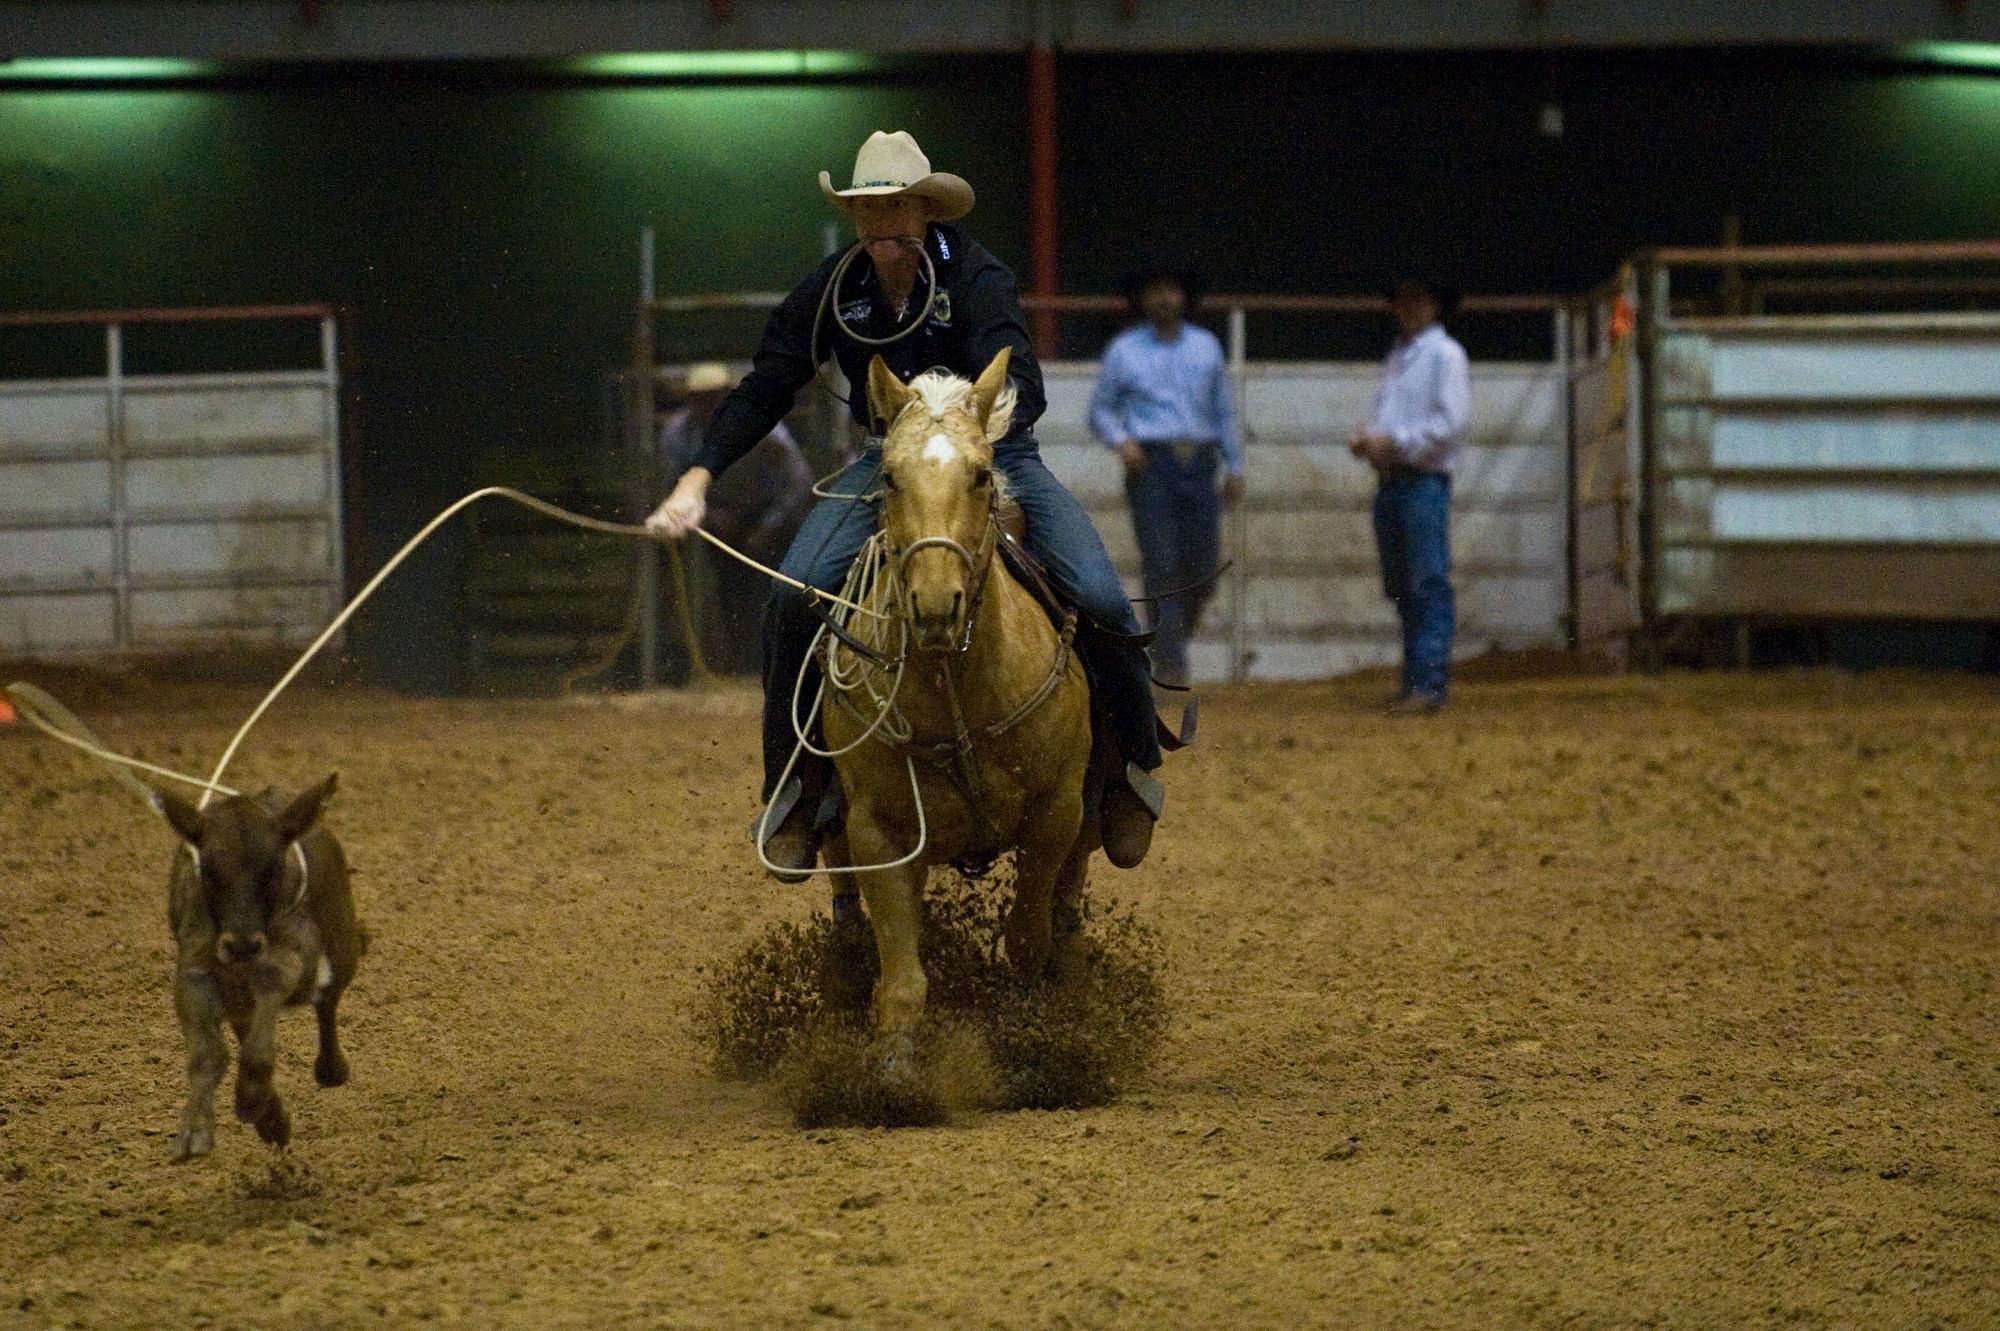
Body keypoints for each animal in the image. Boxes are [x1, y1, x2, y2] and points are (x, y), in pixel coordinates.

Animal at [156, 771, 368, 1159]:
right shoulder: (193, 973)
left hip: (343, 950)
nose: (242, 945)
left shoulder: (293, 956)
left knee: (327, 1003)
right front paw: (194, 1130)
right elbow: (207, 1053)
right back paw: (273, 1118)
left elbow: (272, 988)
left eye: (272, 869)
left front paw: (251, 1098)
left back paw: (330, 1069)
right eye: (209, 871)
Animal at [812, 347, 1096, 1031]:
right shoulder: (880, 833)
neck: (957, 690)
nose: (937, 605)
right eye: (889, 477)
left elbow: (1027, 942)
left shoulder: (1056, 813)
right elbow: (903, 985)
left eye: (982, 475)